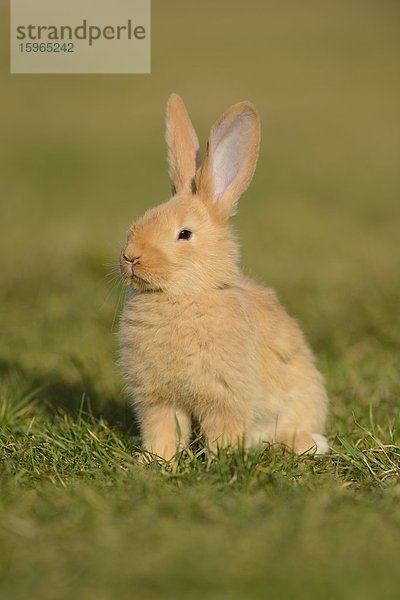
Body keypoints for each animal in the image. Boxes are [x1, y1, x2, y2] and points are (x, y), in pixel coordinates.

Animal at [118, 92, 328, 460]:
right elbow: (164, 433)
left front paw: (221, 461)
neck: (183, 295)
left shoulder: (225, 398)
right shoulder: (159, 402)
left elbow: (223, 432)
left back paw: (311, 443)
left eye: (184, 234)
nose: (131, 257)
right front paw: (157, 462)